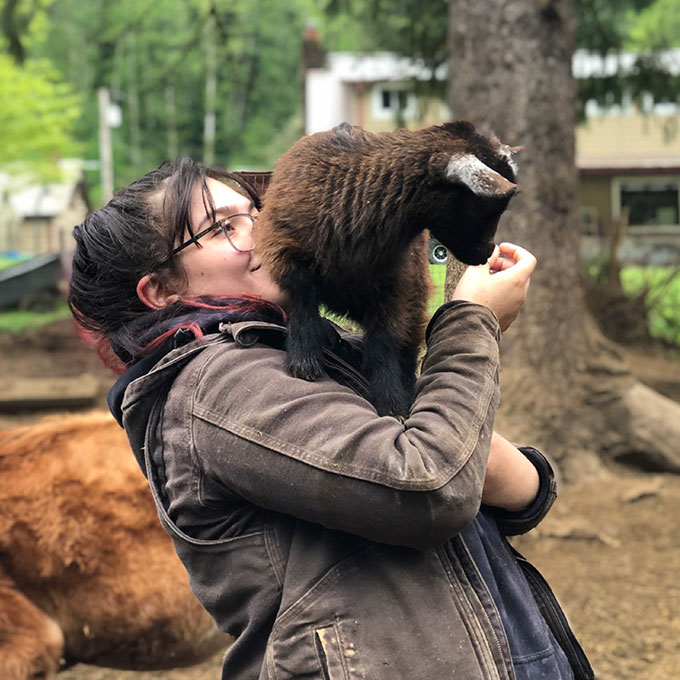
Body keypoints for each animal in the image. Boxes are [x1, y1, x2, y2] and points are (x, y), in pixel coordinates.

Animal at [252, 120, 516, 418]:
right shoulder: (283, 248)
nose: (486, 254)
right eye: (482, 207)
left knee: (406, 350)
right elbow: (302, 298)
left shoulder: (396, 285)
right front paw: (304, 360)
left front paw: (392, 404)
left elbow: (384, 342)